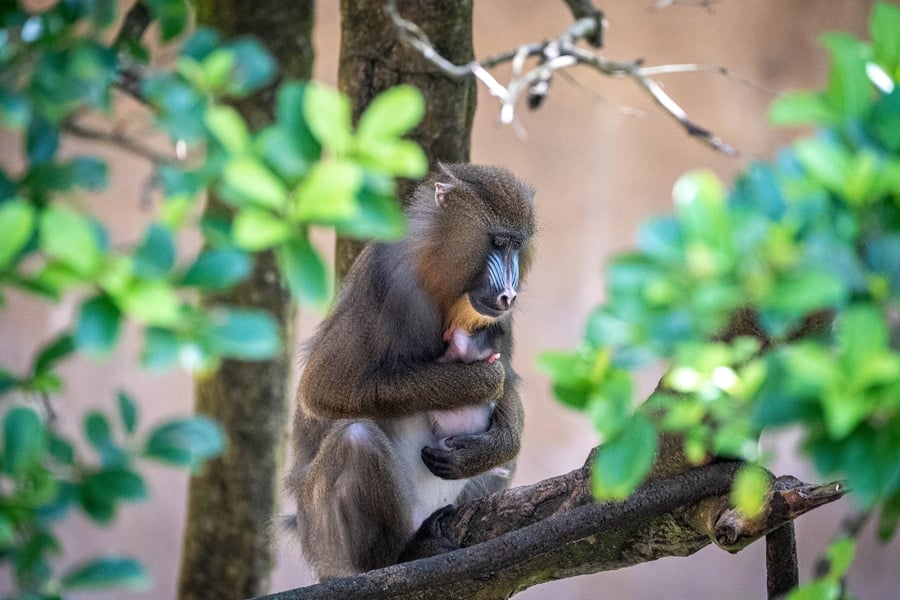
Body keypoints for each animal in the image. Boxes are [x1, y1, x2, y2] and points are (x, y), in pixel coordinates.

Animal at [286, 163, 535, 580]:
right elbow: (324, 390)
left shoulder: (498, 320)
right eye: (498, 243)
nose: (509, 294)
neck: (439, 278)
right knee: (356, 438)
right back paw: (399, 557)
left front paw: (493, 445)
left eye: (517, 246)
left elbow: (510, 382)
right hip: (327, 538)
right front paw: (480, 382)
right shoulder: (383, 276)